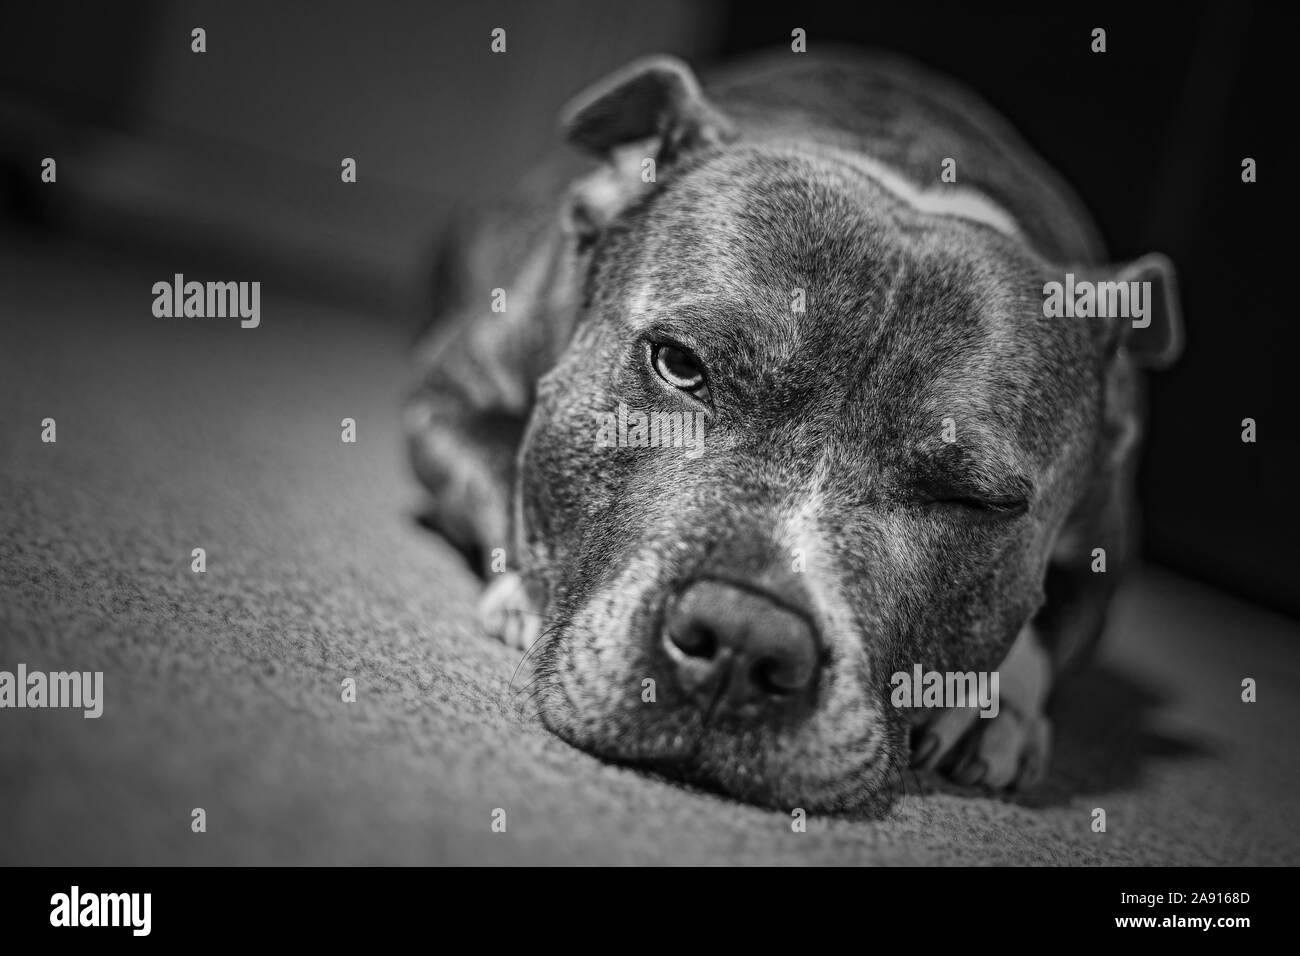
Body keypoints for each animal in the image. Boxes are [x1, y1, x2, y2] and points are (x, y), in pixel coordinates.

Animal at [403, 50, 1180, 816]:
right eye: (680, 364)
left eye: (977, 501)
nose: (743, 638)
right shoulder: (448, 395)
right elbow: (496, 456)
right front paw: (526, 589)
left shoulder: (1112, 540)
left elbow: (1053, 622)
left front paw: (991, 706)